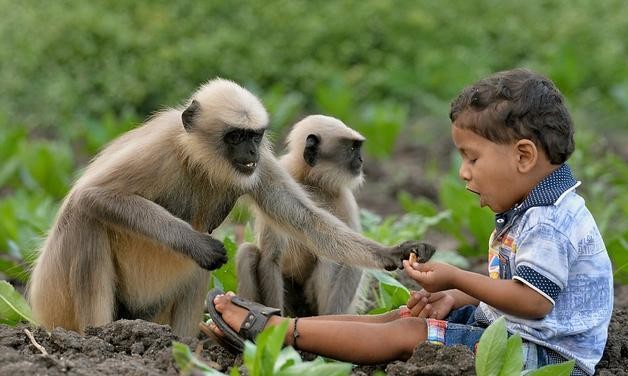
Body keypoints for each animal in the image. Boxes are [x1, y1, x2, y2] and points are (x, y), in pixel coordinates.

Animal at [237, 114, 372, 314]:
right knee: (248, 252)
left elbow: (352, 260)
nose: (361, 160)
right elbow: (271, 257)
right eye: (353, 148)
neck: (311, 181)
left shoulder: (344, 198)